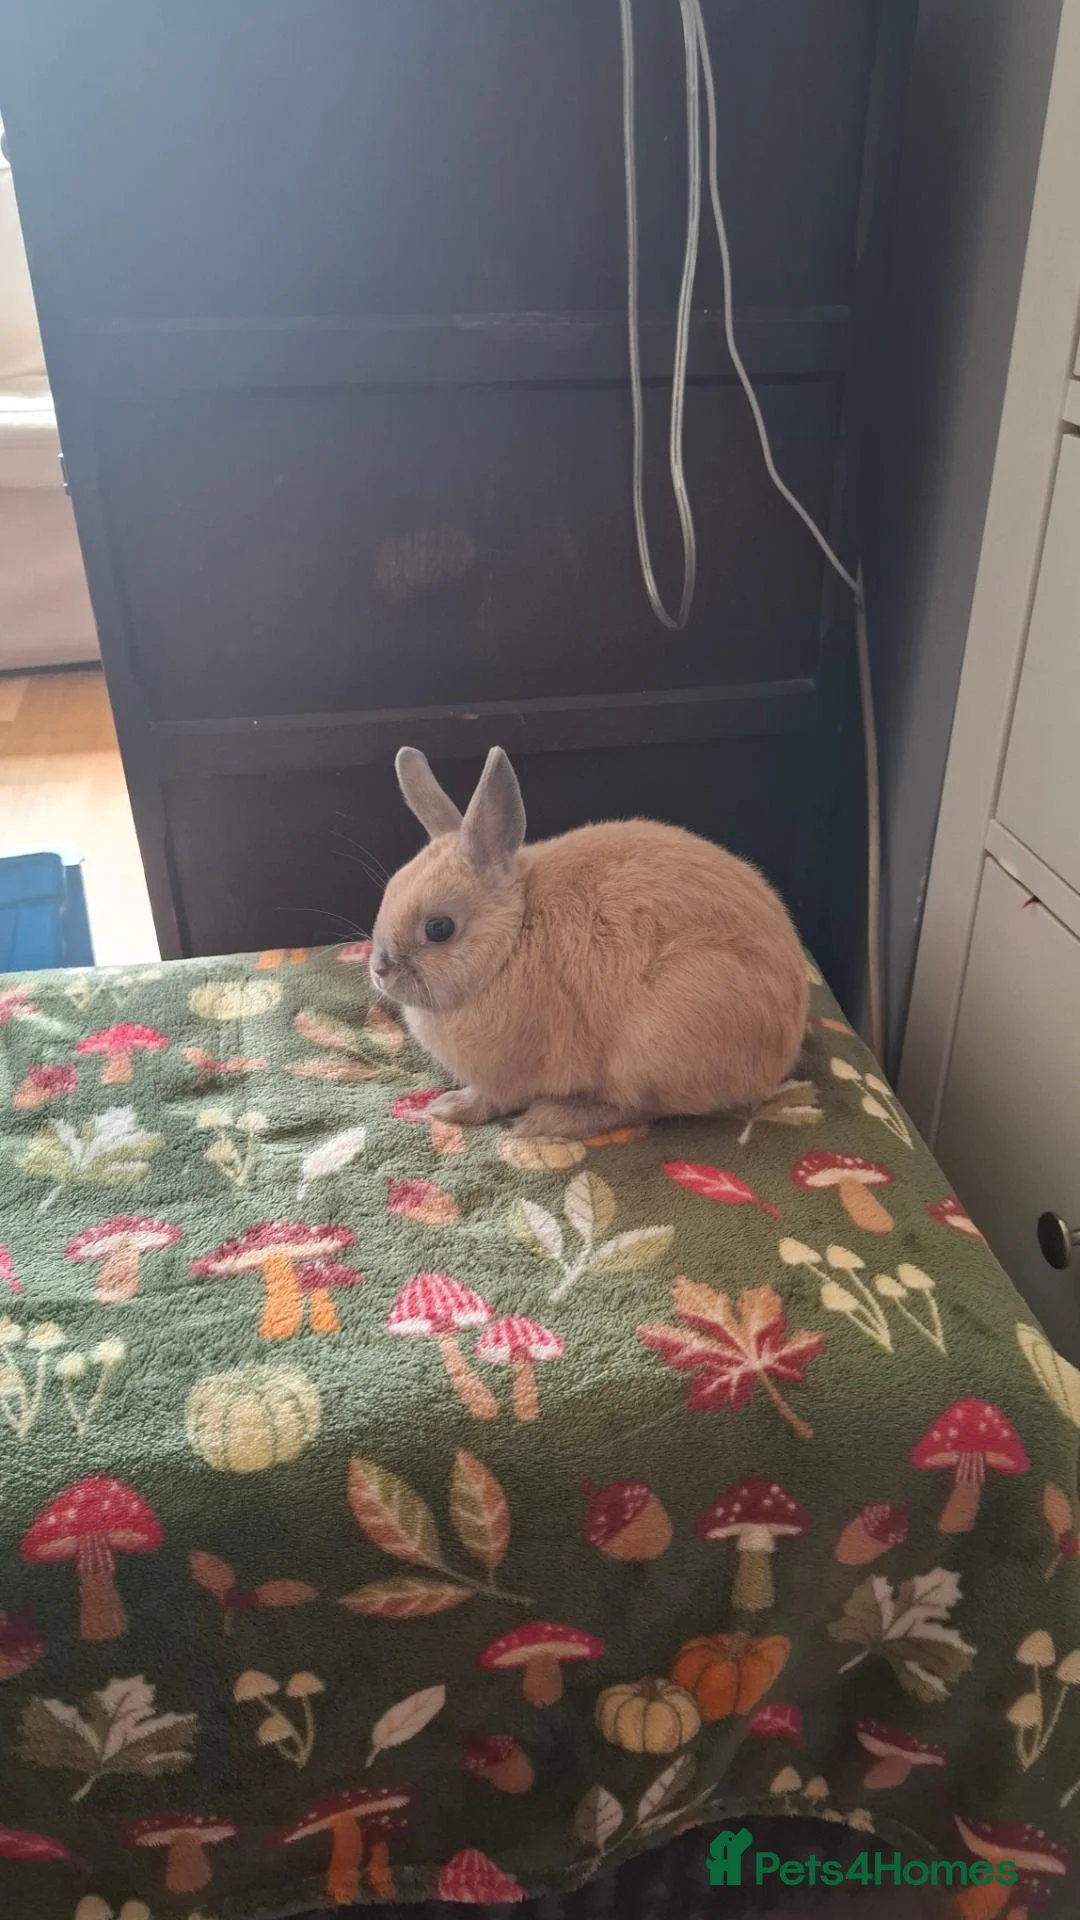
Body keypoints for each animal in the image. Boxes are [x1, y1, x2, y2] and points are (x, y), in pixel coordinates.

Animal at [369, 745, 809, 1138]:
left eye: (439, 928)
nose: (379, 970)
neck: (512, 941)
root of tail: (782, 1054)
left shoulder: (504, 1077)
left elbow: (488, 1100)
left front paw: (448, 1107)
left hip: (652, 1049)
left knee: (637, 1108)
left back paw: (549, 1120)